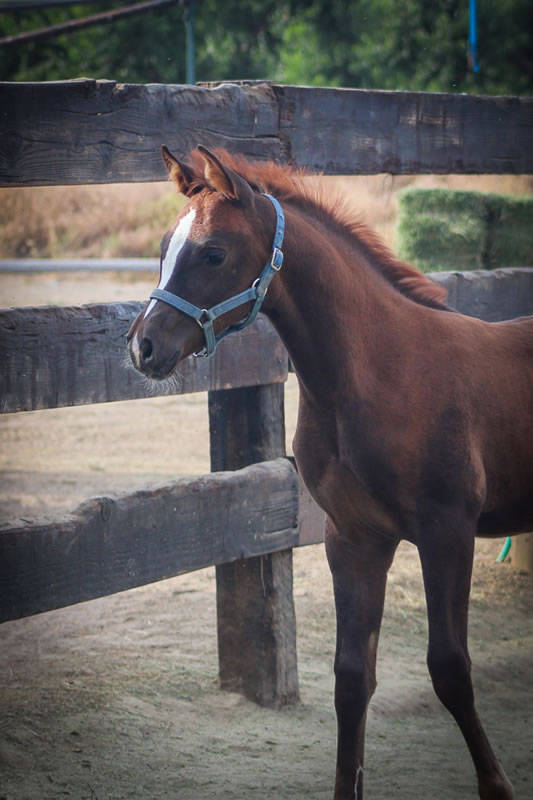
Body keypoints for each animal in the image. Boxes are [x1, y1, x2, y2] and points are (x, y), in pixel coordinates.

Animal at [127, 145, 528, 800]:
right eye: (165, 246)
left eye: (213, 253)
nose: (143, 348)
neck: (381, 373)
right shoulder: (355, 539)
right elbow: (351, 678)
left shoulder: (448, 532)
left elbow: (450, 668)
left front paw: (497, 785)